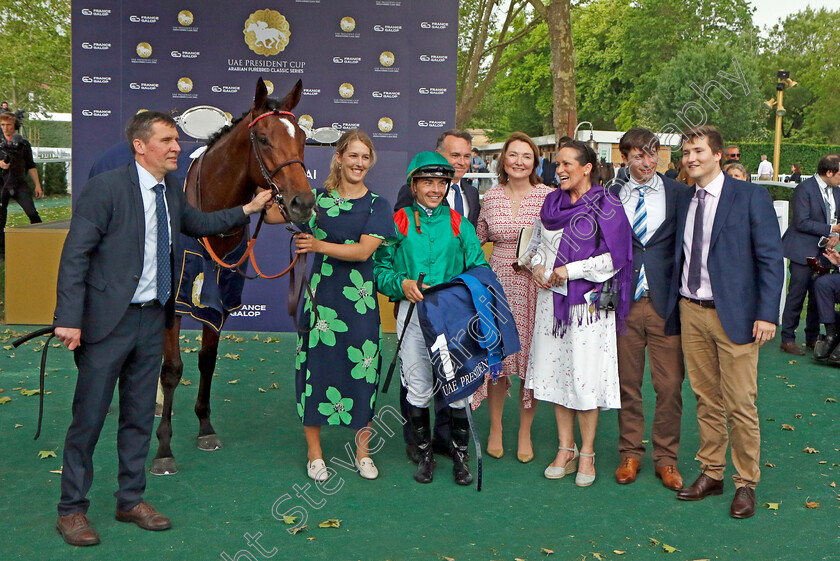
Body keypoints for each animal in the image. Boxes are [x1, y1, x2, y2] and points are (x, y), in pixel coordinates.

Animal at [152, 77, 316, 472]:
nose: (303, 203)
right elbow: (172, 369)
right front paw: (164, 447)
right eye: (264, 139)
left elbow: (207, 360)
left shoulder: (220, 299)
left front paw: (205, 427)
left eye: (302, 139)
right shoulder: (175, 301)